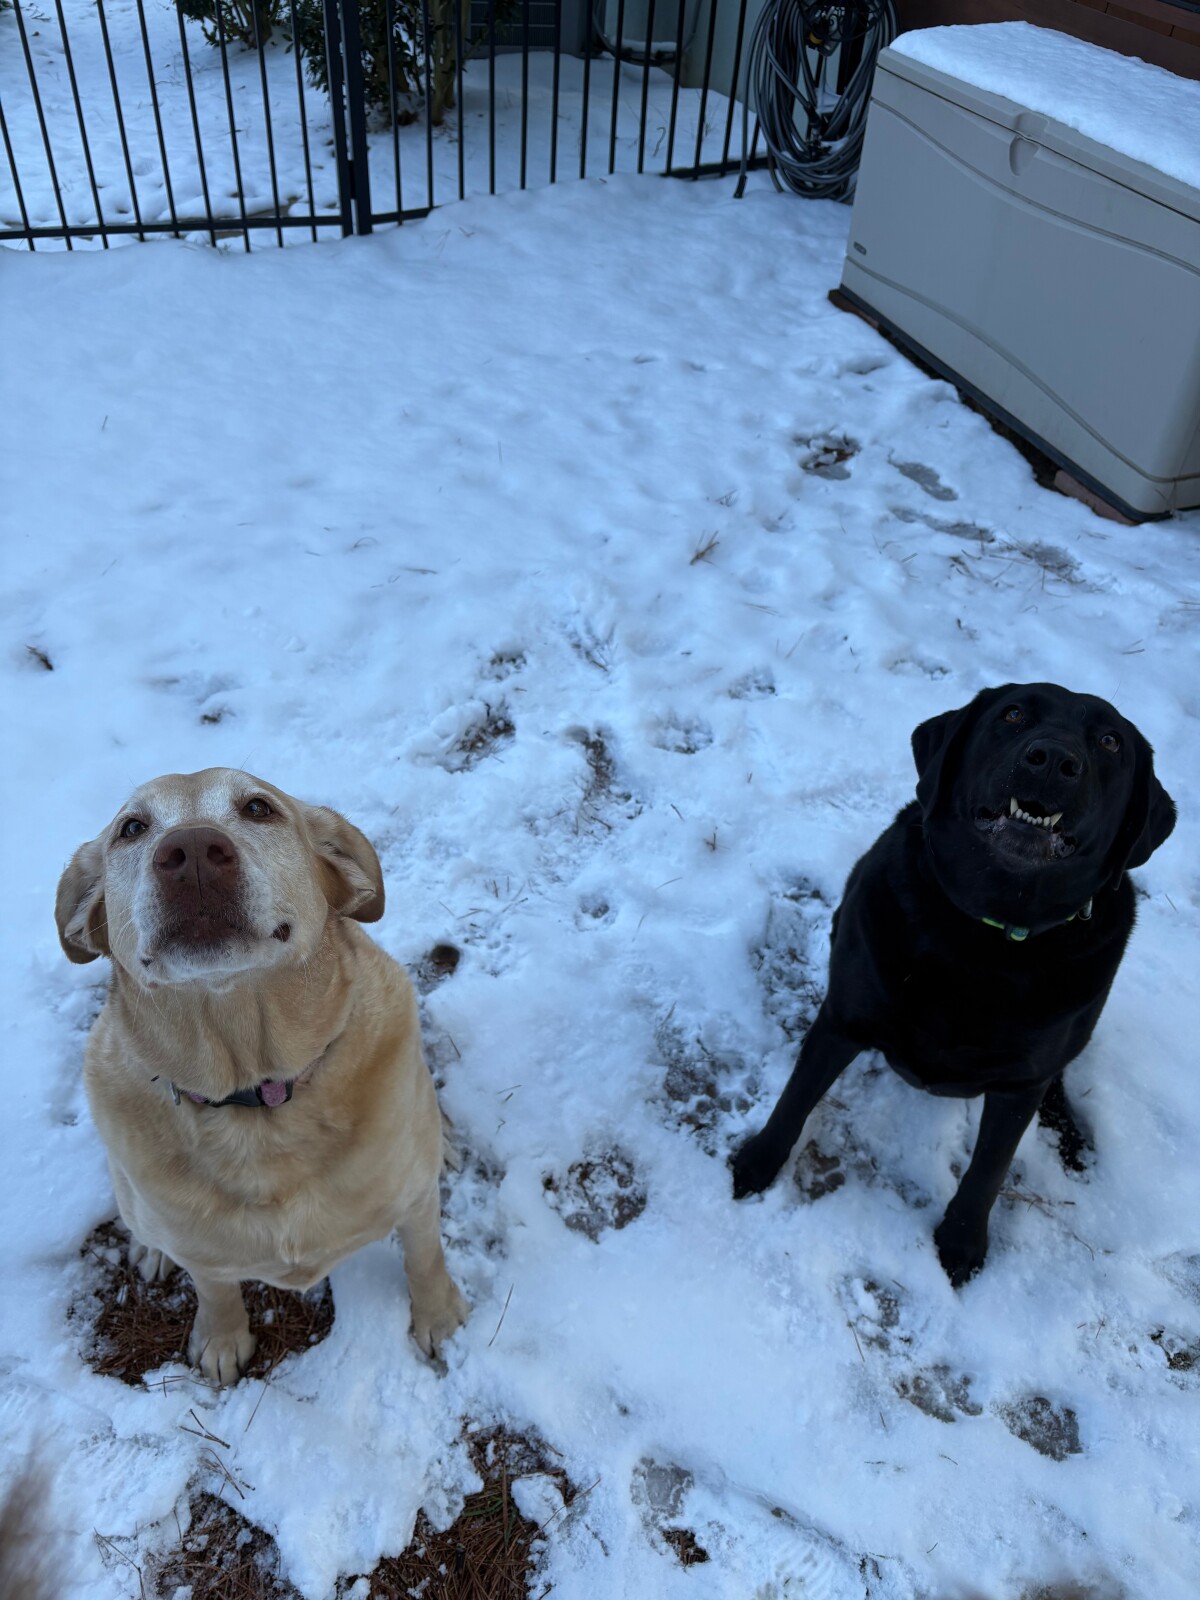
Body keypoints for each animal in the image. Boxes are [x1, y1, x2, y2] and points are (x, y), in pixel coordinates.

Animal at [55, 769, 468, 1383]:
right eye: (131, 829)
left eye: (257, 808)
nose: (191, 851)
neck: (256, 1091)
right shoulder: (202, 1252)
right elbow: (214, 1285)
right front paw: (222, 1339)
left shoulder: (416, 1204)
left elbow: (425, 1258)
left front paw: (440, 1319)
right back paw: (149, 1248)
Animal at [732, 683, 1176, 1285]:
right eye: (1013, 713)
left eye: (1110, 742)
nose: (1053, 760)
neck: (984, 935)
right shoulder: (843, 1018)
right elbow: (795, 1098)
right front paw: (757, 1163)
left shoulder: (1019, 1083)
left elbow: (990, 1167)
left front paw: (962, 1241)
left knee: (1057, 1079)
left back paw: (1072, 1136)